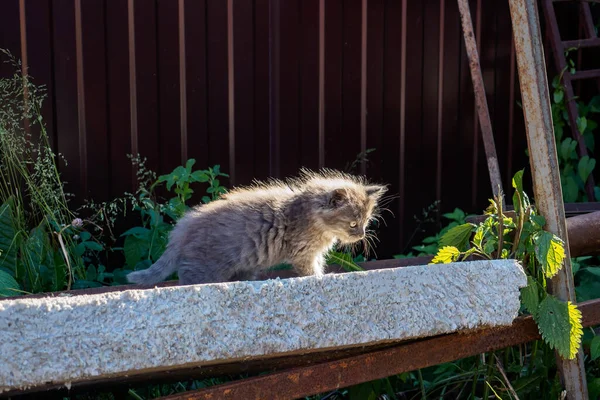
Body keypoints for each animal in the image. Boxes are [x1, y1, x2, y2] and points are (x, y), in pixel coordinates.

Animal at [126, 167, 390, 286]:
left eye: (366, 222)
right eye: (353, 223)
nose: (361, 235)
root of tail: (183, 227)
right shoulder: (303, 253)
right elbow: (310, 270)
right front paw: (320, 278)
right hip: (203, 267)